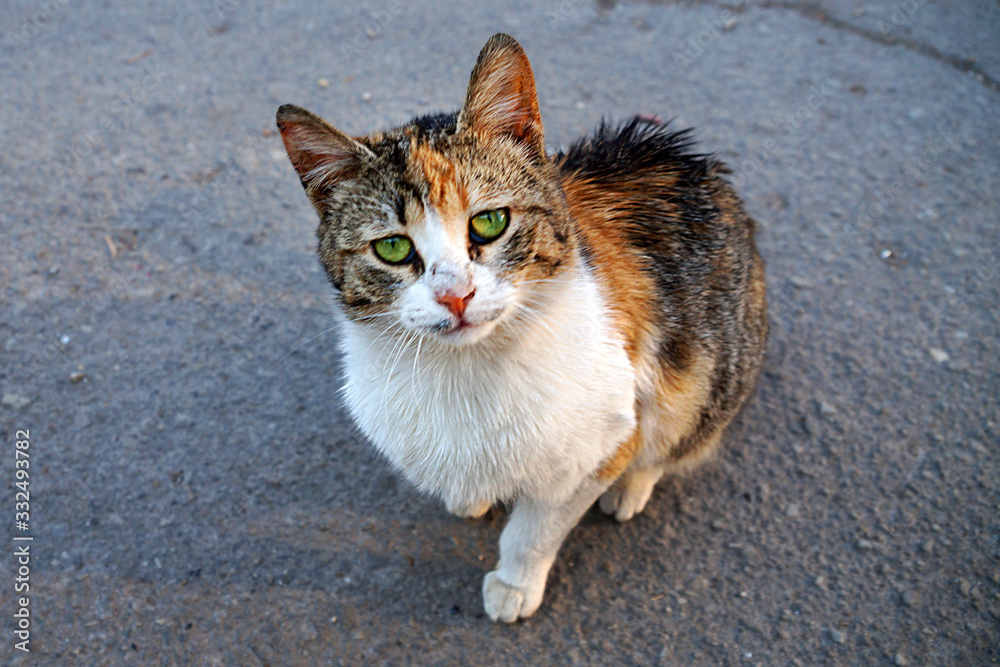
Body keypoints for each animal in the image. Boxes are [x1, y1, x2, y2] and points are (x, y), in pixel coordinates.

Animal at [274, 32, 764, 628]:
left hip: (708, 368)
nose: (455, 295)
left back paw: (634, 485)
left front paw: (515, 584)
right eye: (391, 247)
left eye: (490, 222)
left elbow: (536, 530)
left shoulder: (599, 442)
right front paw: (471, 495)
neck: (464, 371)